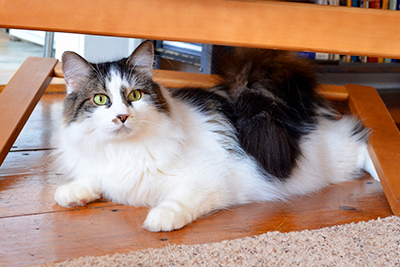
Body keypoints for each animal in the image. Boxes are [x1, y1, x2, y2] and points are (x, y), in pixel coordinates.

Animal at [53, 41, 378, 232]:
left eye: (135, 96)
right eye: (100, 100)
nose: (122, 117)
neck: (124, 148)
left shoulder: (209, 179)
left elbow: (179, 201)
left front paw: (159, 219)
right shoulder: (105, 170)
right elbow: (94, 179)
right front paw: (71, 193)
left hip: (331, 157)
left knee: (362, 142)